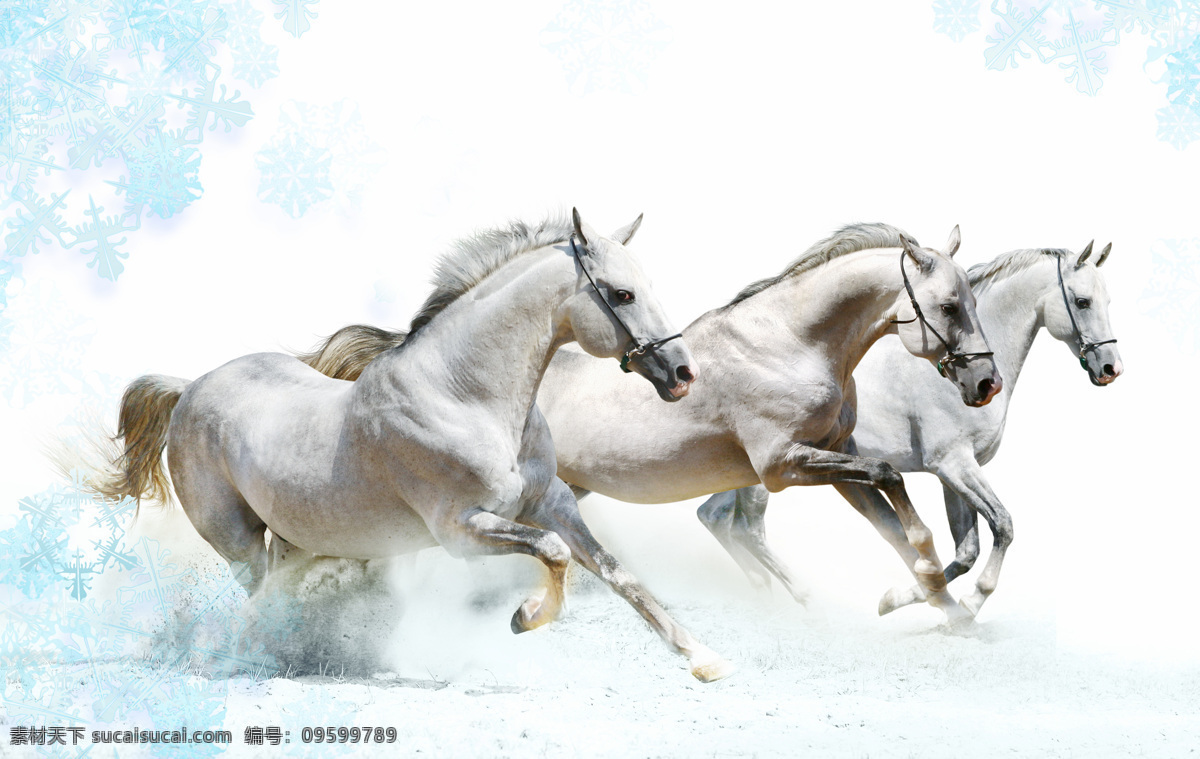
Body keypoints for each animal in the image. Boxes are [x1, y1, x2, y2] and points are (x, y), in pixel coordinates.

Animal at [98, 212, 734, 682]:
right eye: (622, 294)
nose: (683, 373)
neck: (464, 395)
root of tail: (190, 387)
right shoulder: (461, 531)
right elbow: (553, 554)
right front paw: (525, 618)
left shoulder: (552, 503)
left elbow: (616, 573)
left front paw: (705, 660)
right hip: (237, 541)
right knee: (260, 593)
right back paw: (261, 655)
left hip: (297, 535)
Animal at [297, 223, 1003, 624]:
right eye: (948, 305)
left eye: (971, 300)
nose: (985, 384)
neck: (792, 343)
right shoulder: (783, 465)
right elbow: (891, 480)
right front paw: (929, 588)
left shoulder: (832, 464)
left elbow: (895, 516)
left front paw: (940, 608)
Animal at [700, 241, 1118, 614]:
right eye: (1083, 301)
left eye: (1108, 301)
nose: (1111, 368)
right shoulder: (953, 465)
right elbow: (1002, 525)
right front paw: (968, 602)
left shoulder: (953, 473)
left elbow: (966, 550)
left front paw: (907, 599)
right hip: (768, 475)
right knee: (746, 529)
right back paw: (802, 599)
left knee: (714, 517)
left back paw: (764, 594)